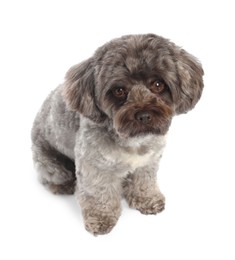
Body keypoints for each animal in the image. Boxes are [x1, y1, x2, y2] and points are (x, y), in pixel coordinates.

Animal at [31, 33, 204, 236]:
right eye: (119, 90)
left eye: (158, 84)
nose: (144, 115)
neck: (133, 141)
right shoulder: (94, 167)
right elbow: (98, 193)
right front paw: (101, 217)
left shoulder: (148, 161)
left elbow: (144, 181)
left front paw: (146, 198)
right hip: (52, 165)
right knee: (51, 176)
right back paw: (63, 185)